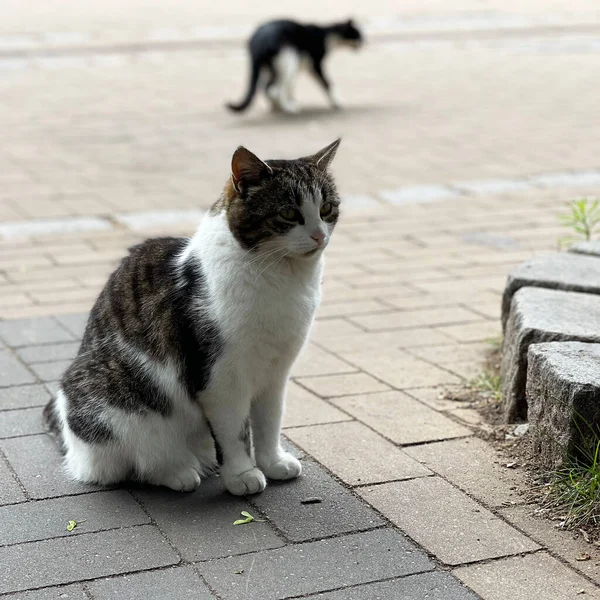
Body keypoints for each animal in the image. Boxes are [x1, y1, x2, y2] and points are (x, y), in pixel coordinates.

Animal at [42, 141, 342, 496]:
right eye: (289, 213)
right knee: (133, 462)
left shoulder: (276, 373)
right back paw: (178, 471)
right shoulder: (220, 378)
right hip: (120, 403)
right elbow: (235, 433)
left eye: (326, 209)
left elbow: (269, 422)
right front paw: (242, 475)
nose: (319, 236)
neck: (283, 280)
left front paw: (273, 462)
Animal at [227, 19, 364, 113]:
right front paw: (337, 102)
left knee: (268, 88)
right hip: (288, 62)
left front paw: (290, 100)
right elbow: (327, 83)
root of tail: (258, 41)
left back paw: (277, 107)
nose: (365, 42)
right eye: (359, 35)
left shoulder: (299, 68)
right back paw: (287, 108)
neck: (326, 35)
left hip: (272, 67)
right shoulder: (315, 65)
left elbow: (291, 87)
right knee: (273, 89)